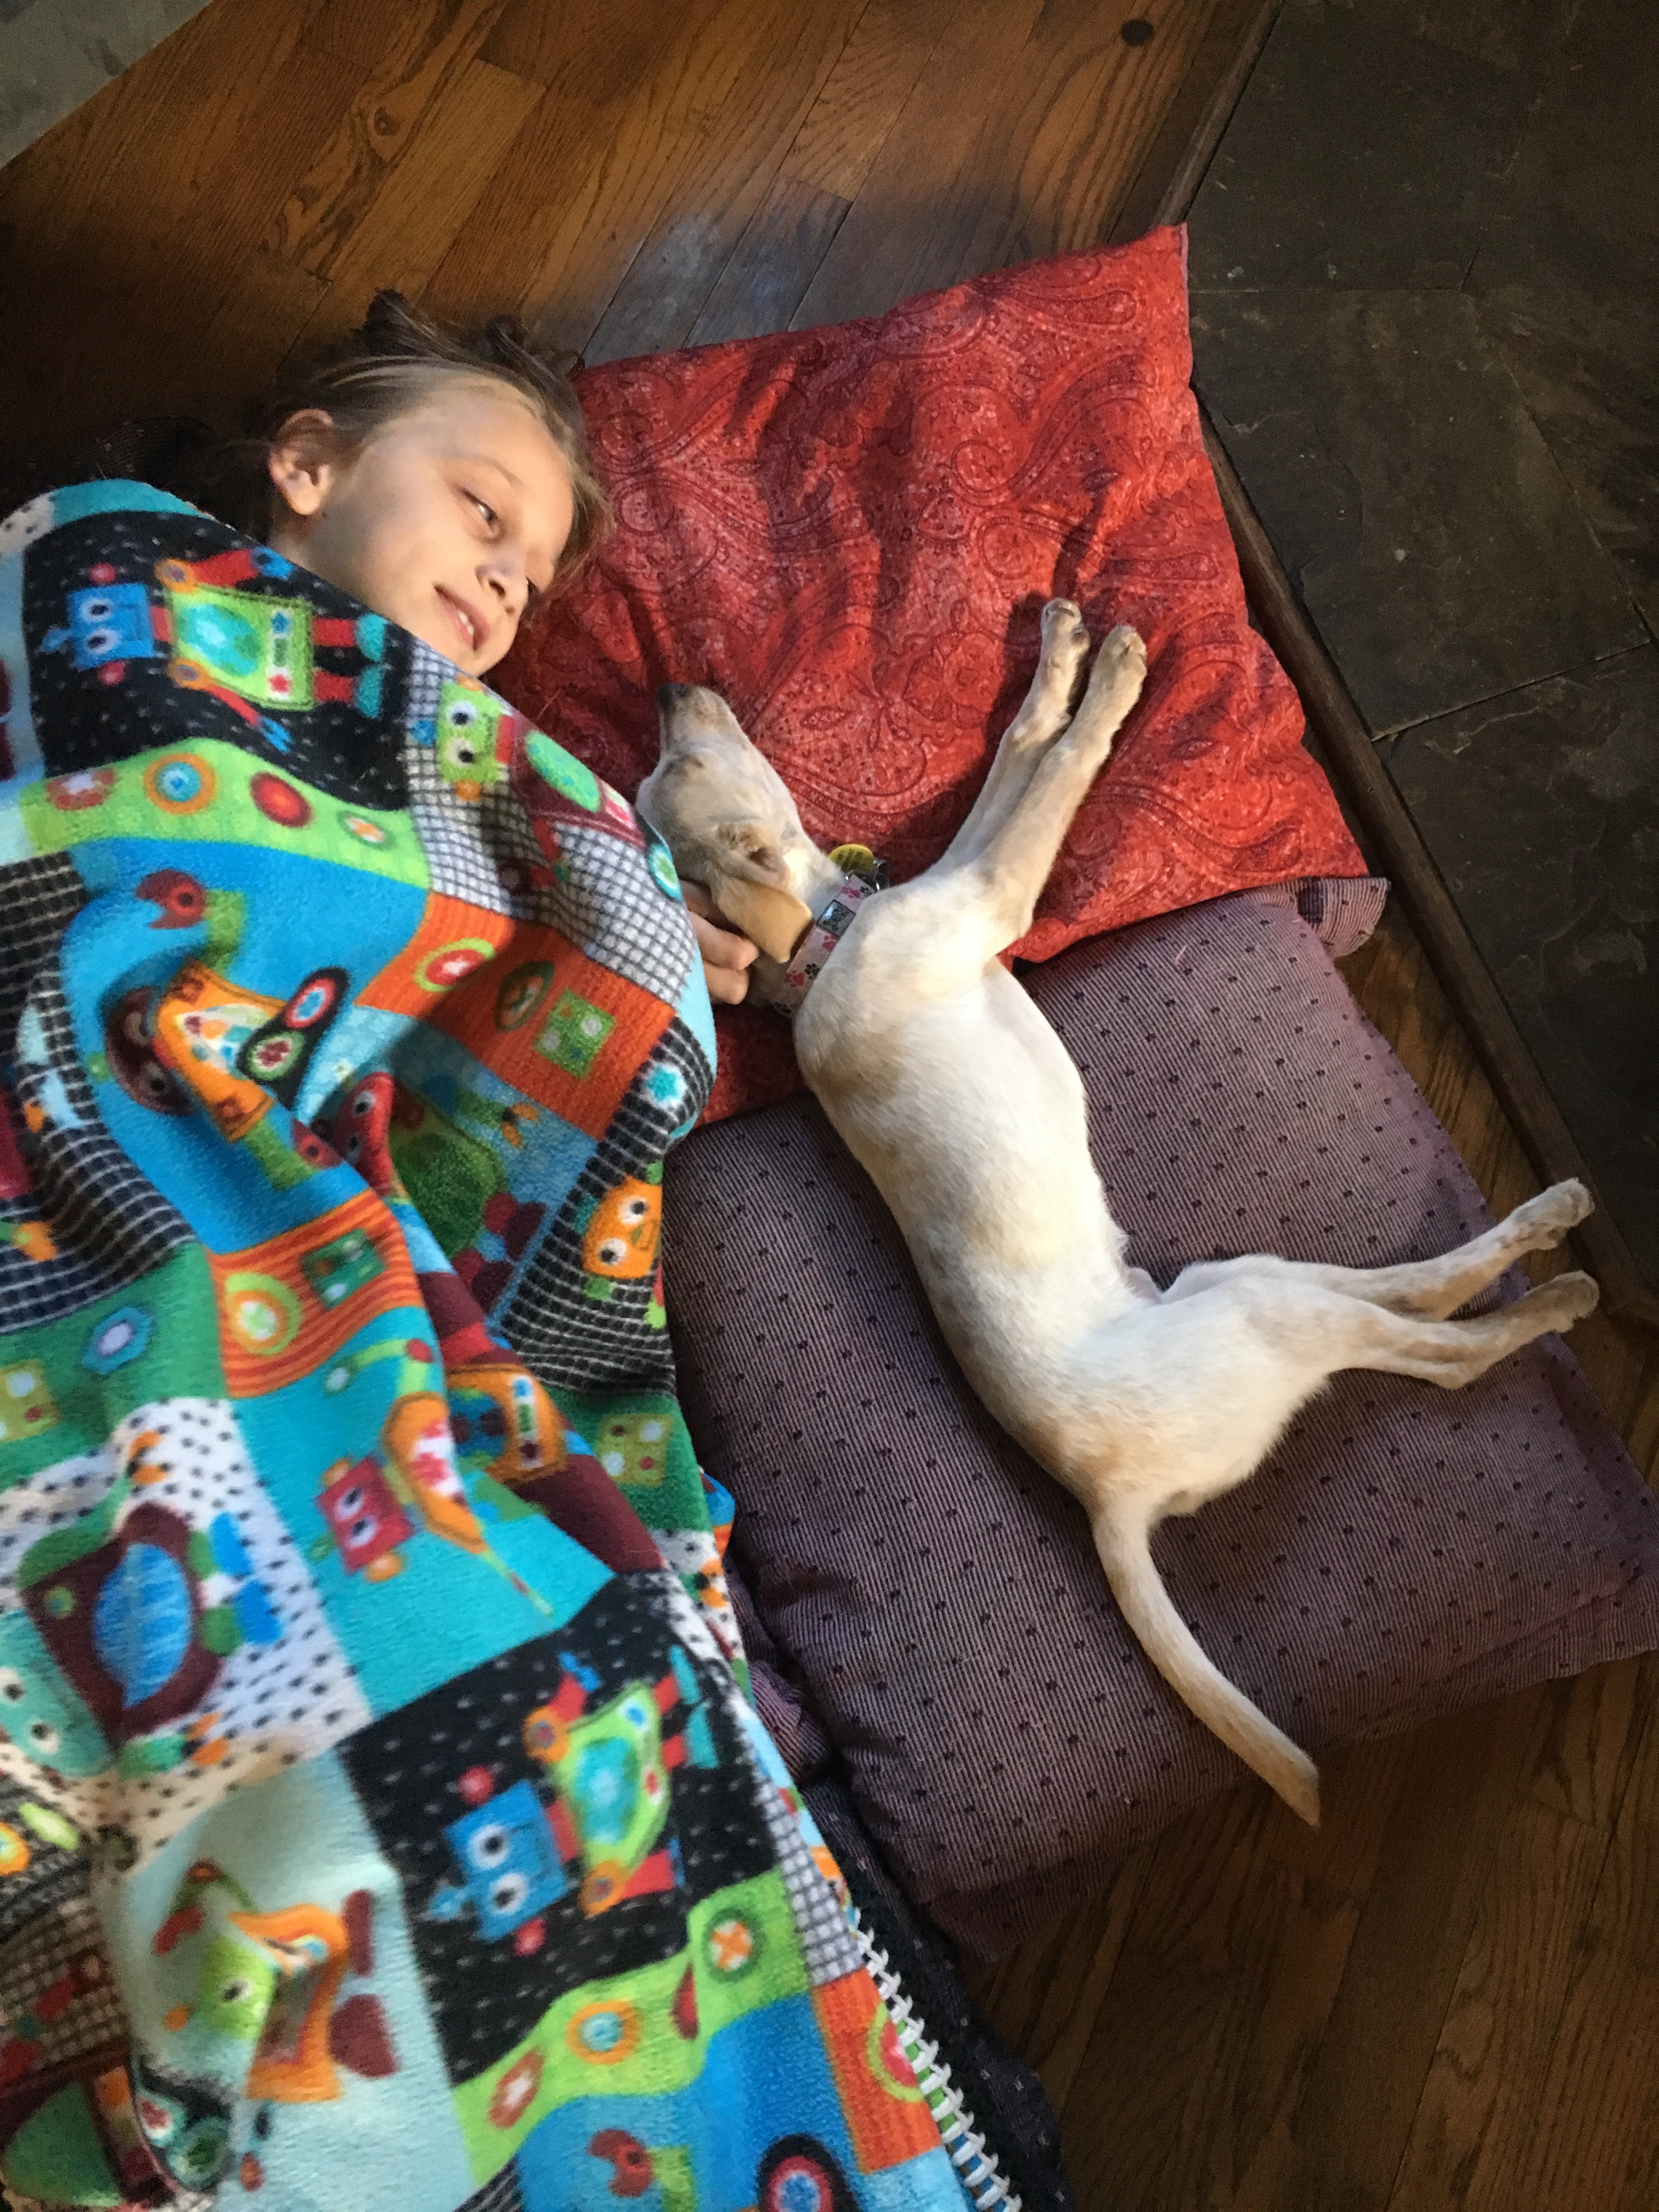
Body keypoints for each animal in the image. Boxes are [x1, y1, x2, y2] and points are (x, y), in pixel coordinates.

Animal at [637, 600, 1600, 1825]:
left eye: (669, 765)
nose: (669, 687)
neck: (817, 947)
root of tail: (1110, 1502)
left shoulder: (966, 878)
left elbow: (1016, 752)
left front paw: (1061, 655)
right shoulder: (993, 893)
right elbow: (1059, 774)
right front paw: (1111, 687)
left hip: (1229, 1282)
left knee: (1411, 1318)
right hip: (1258, 1319)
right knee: (1442, 1350)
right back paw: (1554, 1259)